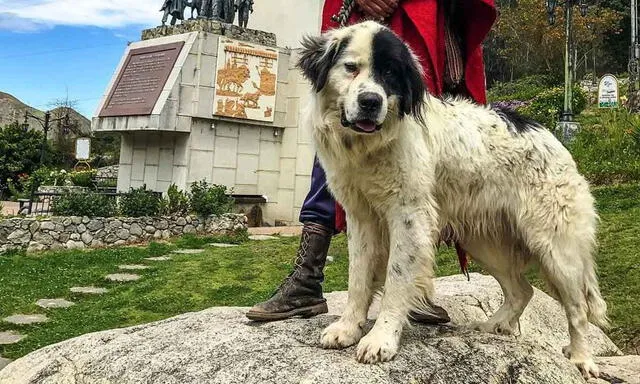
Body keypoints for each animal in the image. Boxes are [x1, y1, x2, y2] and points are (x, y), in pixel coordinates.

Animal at [298, 21, 608, 378]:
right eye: (351, 68)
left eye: (389, 73)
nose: (370, 102)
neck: (370, 147)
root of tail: (554, 140)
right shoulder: (361, 218)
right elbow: (359, 277)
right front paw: (348, 328)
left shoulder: (409, 217)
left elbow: (396, 280)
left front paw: (381, 339)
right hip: (484, 242)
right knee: (523, 290)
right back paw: (493, 326)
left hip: (555, 248)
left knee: (577, 307)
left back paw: (581, 358)